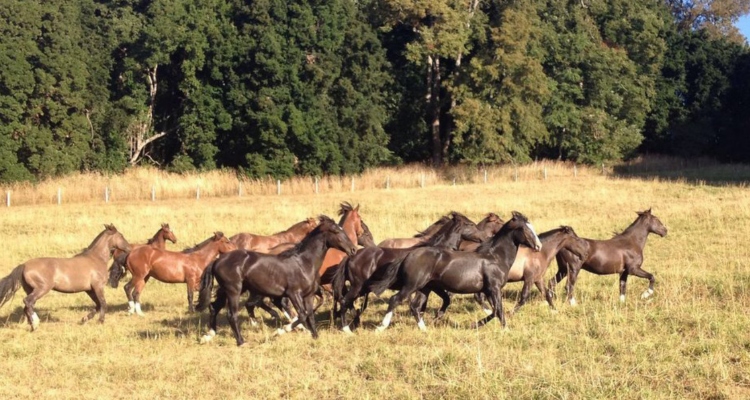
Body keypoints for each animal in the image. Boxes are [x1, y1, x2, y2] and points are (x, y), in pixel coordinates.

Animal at [0, 225, 131, 332]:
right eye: (121, 235)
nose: (129, 248)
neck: (96, 259)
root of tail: (24, 265)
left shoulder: (89, 289)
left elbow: (98, 305)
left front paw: (84, 319)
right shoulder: (97, 286)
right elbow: (103, 303)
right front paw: (101, 321)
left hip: (31, 290)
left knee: (27, 306)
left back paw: (32, 325)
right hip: (42, 289)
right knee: (28, 302)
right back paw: (36, 323)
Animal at [197, 216, 356, 346]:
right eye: (335, 231)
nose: (353, 249)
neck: (303, 262)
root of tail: (217, 260)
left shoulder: (308, 295)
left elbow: (310, 315)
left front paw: (315, 336)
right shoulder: (293, 293)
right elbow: (302, 314)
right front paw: (281, 330)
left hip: (229, 290)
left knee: (214, 307)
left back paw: (208, 336)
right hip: (233, 291)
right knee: (232, 314)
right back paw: (241, 342)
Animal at [334, 211, 488, 332]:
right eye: (471, 224)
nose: (484, 238)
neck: (439, 250)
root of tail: (351, 256)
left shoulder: (431, 286)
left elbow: (439, 301)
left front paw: (435, 318)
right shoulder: (428, 286)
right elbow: (422, 304)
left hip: (362, 288)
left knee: (347, 303)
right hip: (358, 286)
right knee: (345, 301)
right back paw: (348, 329)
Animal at [368, 212, 540, 332]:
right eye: (524, 228)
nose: (538, 246)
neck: (495, 257)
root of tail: (409, 255)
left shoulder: (489, 290)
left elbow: (493, 310)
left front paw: (474, 324)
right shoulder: (494, 288)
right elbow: (498, 310)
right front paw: (506, 329)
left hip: (425, 288)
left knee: (415, 306)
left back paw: (425, 329)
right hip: (412, 285)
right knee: (395, 300)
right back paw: (381, 327)